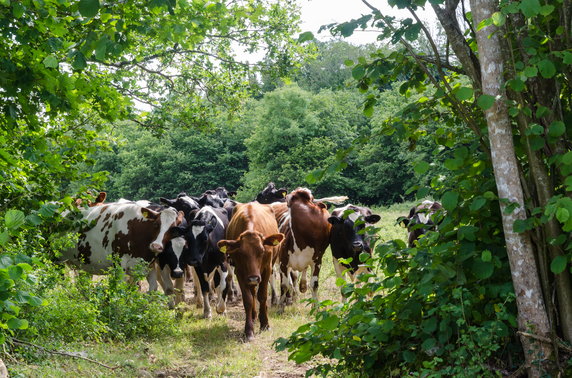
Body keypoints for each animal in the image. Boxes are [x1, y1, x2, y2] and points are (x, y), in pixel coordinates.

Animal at [217, 202, 284, 342]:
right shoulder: (240, 271)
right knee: (252, 292)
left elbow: (262, 296)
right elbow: (247, 299)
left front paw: (265, 324)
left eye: (262, 251)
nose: (253, 278)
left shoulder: (266, 269)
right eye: (241, 253)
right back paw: (253, 316)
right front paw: (249, 330)